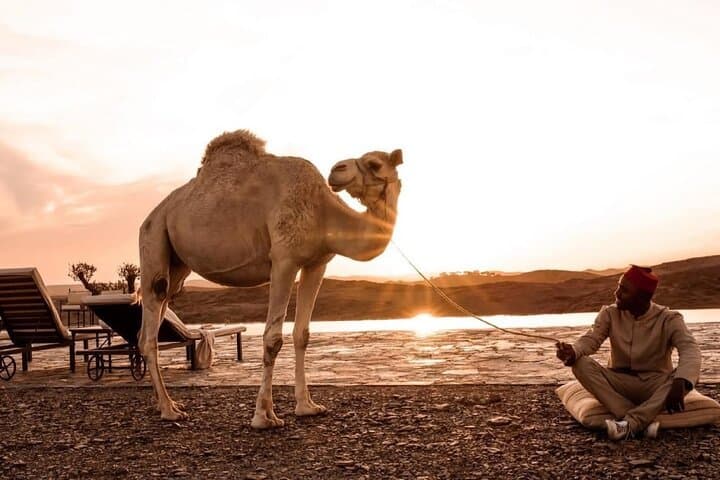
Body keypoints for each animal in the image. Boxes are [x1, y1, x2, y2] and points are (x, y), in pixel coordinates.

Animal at [138, 129, 403, 428]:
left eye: (375, 163)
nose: (337, 169)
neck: (322, 210)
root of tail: (152, 215)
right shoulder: (283, 260)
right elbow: (273, 339)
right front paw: (264, 416)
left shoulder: (317, 263)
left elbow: (302, 334)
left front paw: (307, 406)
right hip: (153, 238)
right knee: (150, 326)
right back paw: (169, 410)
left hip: (176, 266)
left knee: (152, 321)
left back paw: (165, 403)